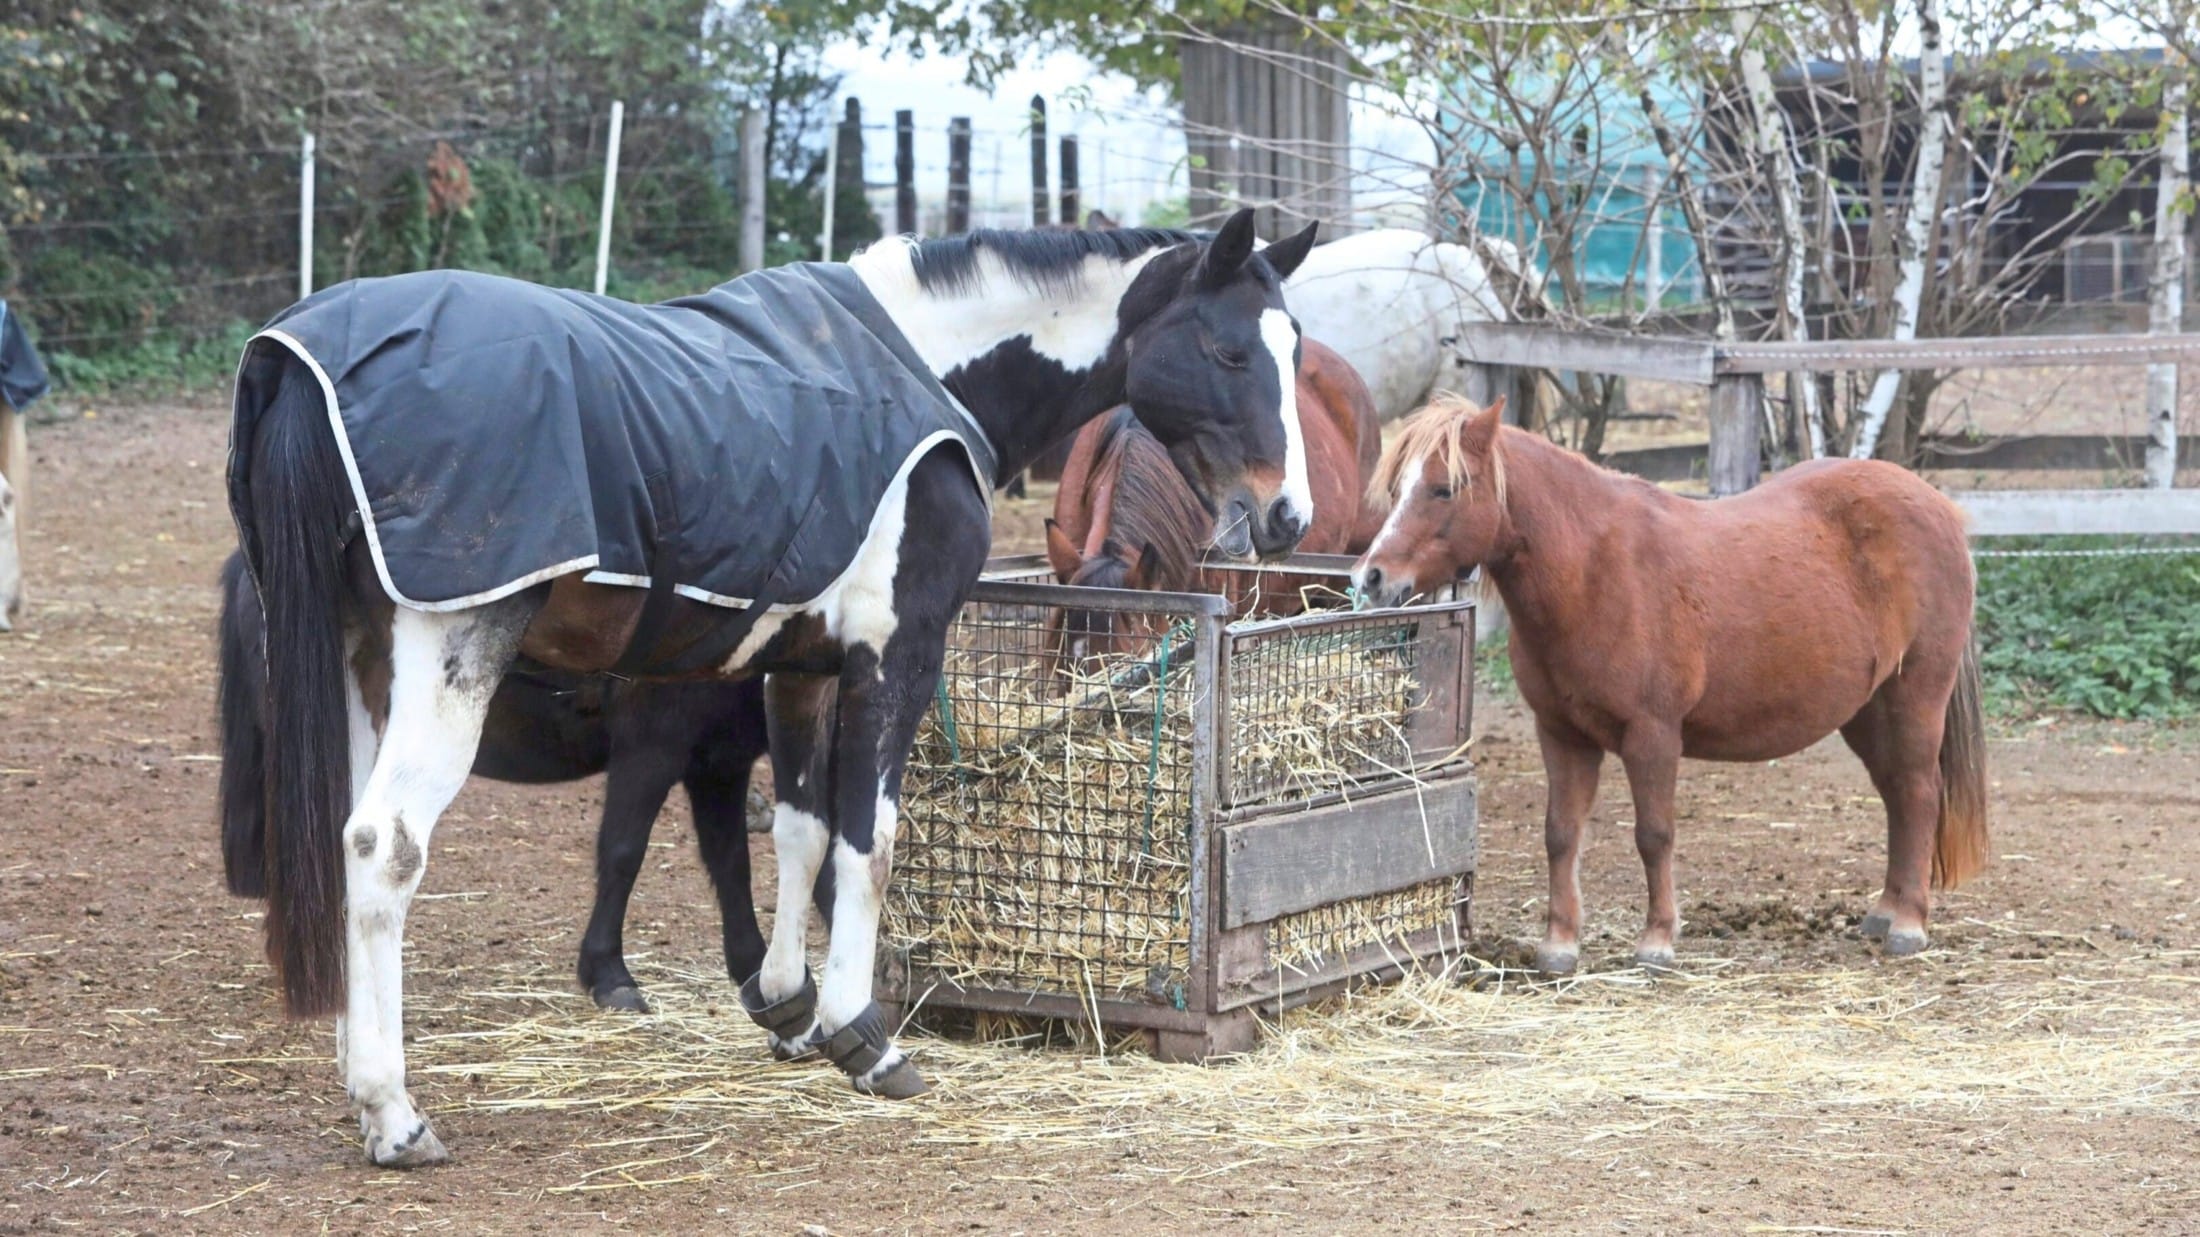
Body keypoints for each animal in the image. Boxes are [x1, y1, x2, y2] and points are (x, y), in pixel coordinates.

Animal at [216, 550, 831, 1012]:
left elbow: (730, 863)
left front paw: (753, 967)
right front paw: (608, 973)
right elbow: (623, 854)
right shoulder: (650, 753)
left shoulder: (718, 768)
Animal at [1346, 393, 1988, 972]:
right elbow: (1560, 833)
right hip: (1869, 711)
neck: (1594, 571)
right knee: (1897, 797)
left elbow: (1653, 835)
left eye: (1443, 488)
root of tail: (1940, 507)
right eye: (1397, 488)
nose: (1370, 578)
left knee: (1919, 793)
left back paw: (1908, 925)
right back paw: (1885, 911)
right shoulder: (1561, 734)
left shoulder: (1652, 735)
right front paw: (1559, 945)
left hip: (1916, 697)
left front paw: (1656, 940)